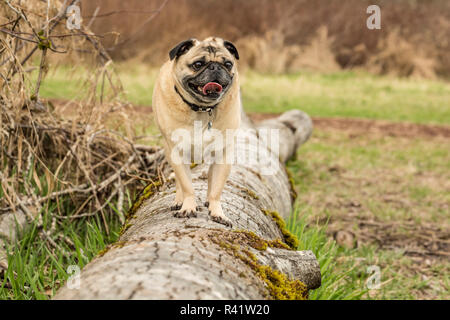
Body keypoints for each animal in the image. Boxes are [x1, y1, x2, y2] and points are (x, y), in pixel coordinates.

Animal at [153, 37, 241, 228]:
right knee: (180, 181)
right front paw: (187, 208)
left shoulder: (223, 155)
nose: (215, 67)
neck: (203, 109)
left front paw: (217, 213)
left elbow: (216, 188)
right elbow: (187, 186)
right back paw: (179, 201)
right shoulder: (177, 153)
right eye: (198, 64)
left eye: (228, 64)